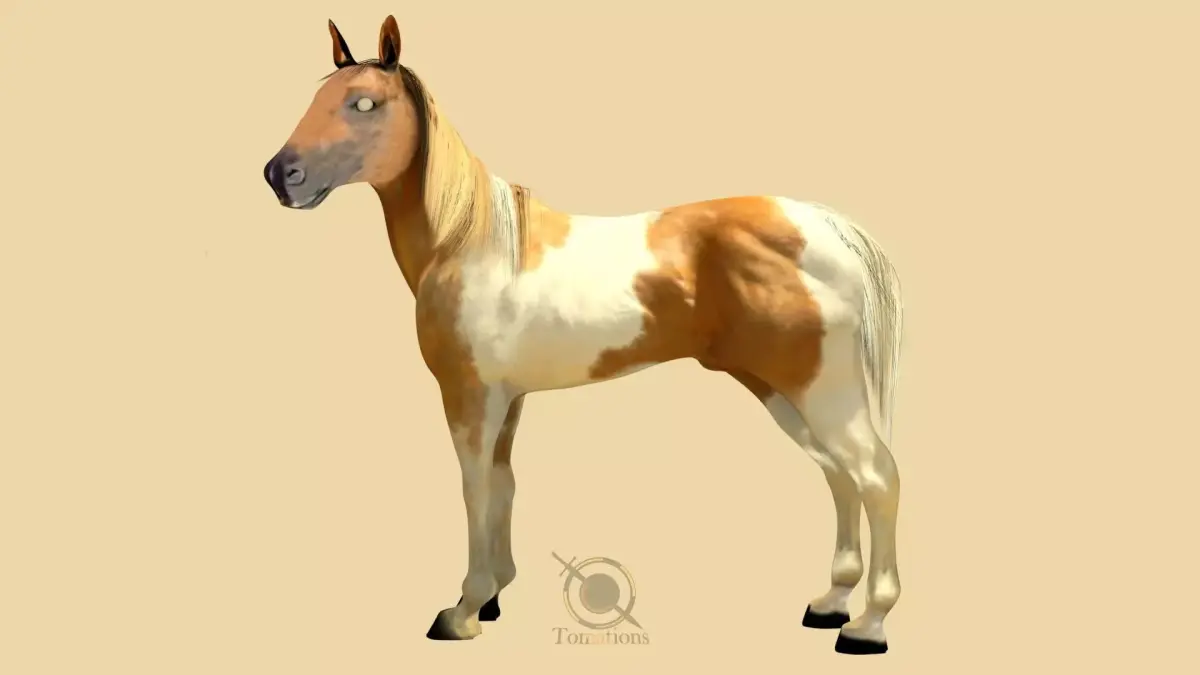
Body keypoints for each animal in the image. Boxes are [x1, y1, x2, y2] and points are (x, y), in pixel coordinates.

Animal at [263, 15, 906, 656]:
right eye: (319, 96)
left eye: (363, 103)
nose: (280, 174)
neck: (468, 242)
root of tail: (824, 227)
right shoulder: (508, 400)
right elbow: (503, 485)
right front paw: (494, 596)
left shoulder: (470, 396)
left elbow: (475, 488)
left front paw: (463, 610)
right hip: (780, 391)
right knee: (837, 475)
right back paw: (830, 603)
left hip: (822, 392)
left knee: (876, 479)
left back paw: (867, 626)